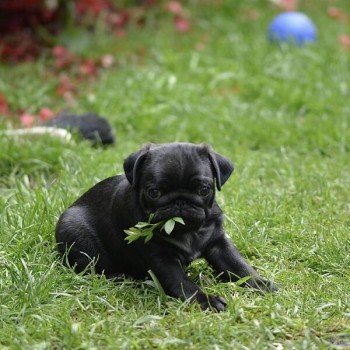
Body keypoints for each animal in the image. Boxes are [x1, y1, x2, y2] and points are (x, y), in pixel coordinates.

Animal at [56, 142, 278, 312]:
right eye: (154, 192)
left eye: (203, 190)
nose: (180, 201)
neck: (188, 231)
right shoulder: (162, 259)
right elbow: (183, 283)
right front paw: (206, 301)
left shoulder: (218, 244)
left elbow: (239, 266)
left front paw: (261, 284)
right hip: (75, 232)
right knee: (91, 267)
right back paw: (120, 276)